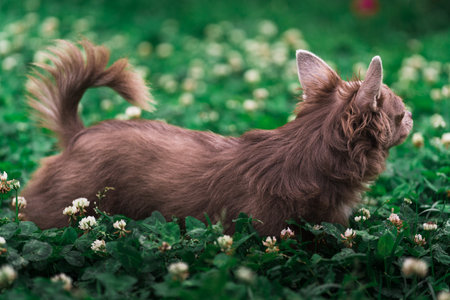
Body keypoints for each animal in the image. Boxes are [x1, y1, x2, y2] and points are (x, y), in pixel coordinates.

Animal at [22, 41, 414, 236]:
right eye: (400, 112)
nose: (412, 115)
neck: (307, 151)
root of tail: (78, 135)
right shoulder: (269, 229)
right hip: (65, 207)